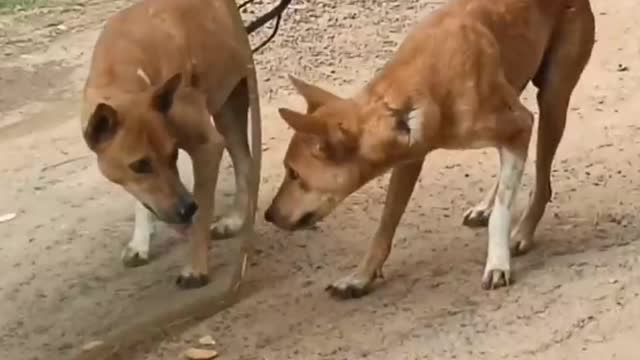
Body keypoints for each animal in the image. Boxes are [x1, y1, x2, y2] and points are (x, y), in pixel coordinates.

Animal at [80, 0, 282, 288]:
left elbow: (202, 214)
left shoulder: (208, 145)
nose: (187, 208)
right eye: (139, 165)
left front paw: (195, 268)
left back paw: (235, 219)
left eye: (173, 155)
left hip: (232, 104)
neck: (124, 76)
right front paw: (140, 242)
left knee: (245, 161)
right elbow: (143, 200)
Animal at [264, 0, 596, 298]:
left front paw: (497, 263)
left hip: (553, 100)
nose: (267, 215)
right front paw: (360, 278)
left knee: (541, 184)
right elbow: (385, 226)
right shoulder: (409, 160)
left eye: (294, 173)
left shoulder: (521, 124)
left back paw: (524, 230)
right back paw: (486, 205)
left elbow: (503, 212)